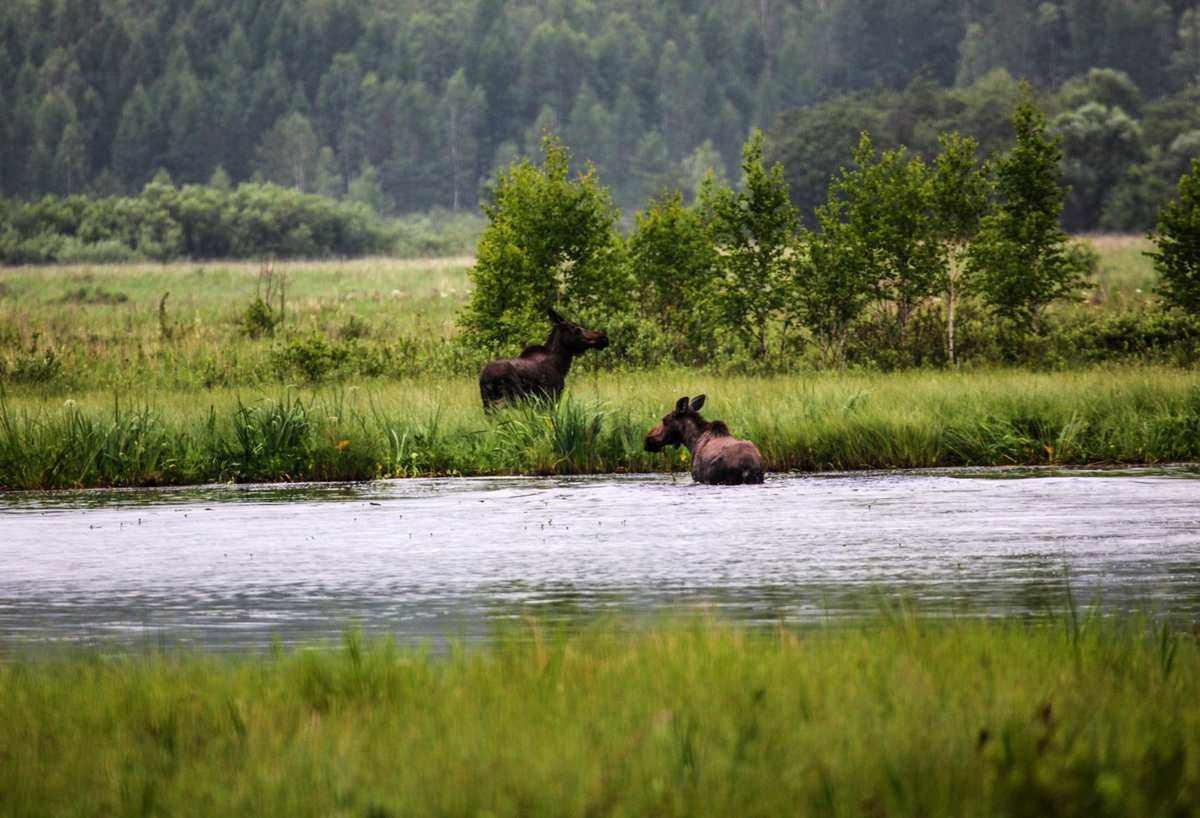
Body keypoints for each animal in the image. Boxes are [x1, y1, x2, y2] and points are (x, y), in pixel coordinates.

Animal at [477, 305, 609, 407]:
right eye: (576, 330)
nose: (603, 338)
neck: (561, 365)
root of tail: (486, 378)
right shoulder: (551, 397)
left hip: (488, 403)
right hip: (511, 399)